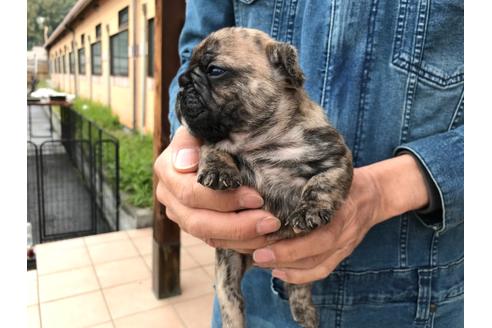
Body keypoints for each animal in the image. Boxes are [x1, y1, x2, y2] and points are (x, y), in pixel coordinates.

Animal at [175, 26, 352, 326]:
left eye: (214, 70)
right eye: (185, 71)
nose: (182, 82)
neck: (259, 138)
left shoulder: (336, 160)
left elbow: (321, 184)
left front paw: (310, 210)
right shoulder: (213, 141)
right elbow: (212, 150)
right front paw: (218, 170)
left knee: (298, 287)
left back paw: (305, 312)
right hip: (228, 268)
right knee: (232, 300)